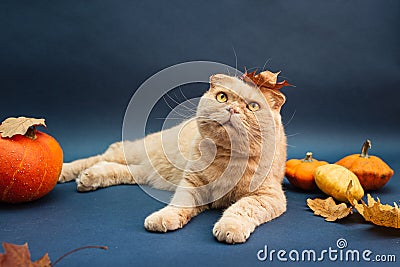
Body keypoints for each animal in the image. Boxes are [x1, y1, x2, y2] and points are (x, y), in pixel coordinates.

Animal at [59, 71, 290, 245]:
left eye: (253, 106)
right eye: (222, 97)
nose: (232, 109)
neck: (228, 158)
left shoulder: (267, 196)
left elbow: (242, 209)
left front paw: (229, 227)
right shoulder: (192, 184)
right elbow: (180, 203)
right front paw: (163, 218)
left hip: (142, 172)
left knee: (113, 167)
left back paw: (89, 178)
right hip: (133, 151)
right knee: (101, 155)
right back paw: (67, 172)